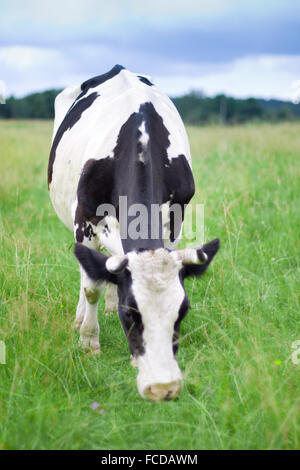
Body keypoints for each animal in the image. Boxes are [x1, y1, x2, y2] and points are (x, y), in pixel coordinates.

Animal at [48, 64, 219, 402]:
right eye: (130, 314)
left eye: (182, 312)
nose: (163, 388)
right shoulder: (83, 219)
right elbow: (90, 286)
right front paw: (89, 341)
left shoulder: (175, 219)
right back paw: (82, 317)